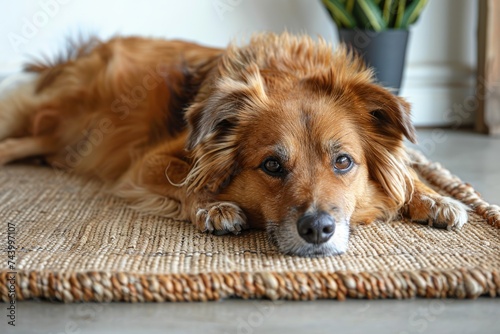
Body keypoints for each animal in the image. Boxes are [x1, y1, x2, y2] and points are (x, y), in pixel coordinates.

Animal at [0, 33, 468, 256]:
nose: (318, 230)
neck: (288, 71)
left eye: (343, 161)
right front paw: (213, 205)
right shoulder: (147, 162)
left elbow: (405, 176)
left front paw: (434, 197)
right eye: (272, 166)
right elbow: (187, 178)